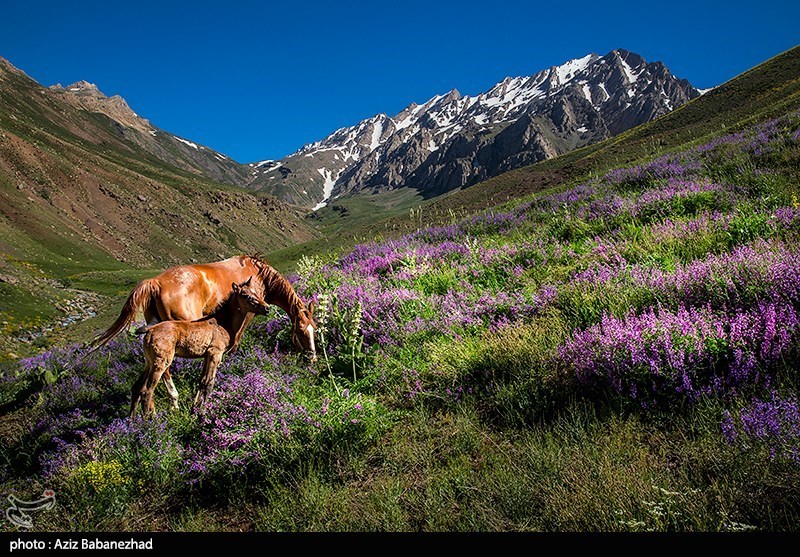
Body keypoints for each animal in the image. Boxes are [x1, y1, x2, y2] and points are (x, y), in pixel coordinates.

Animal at [92, 254, 318, 398]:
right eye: (301, 331)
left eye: (314, 330)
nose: (313, 359)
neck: (260, 274)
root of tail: (155, 283)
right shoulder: (248, 313)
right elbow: (236, 340)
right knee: (165, 369)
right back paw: (174, 401)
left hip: (156, 326)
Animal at [130, 276, 270, 414]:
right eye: (247, 296)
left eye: (257, 293)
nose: (267, 308)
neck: (223, 323)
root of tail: (150, 330)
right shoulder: (215, 353)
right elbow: (209, 383)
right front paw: (202, 413)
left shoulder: (207, 355)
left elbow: (201, 381)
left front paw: (194, 409)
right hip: (161, 361)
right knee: (147, 391)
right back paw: (150, 419)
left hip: (149, 361)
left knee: (137, 387)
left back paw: (133, 419)